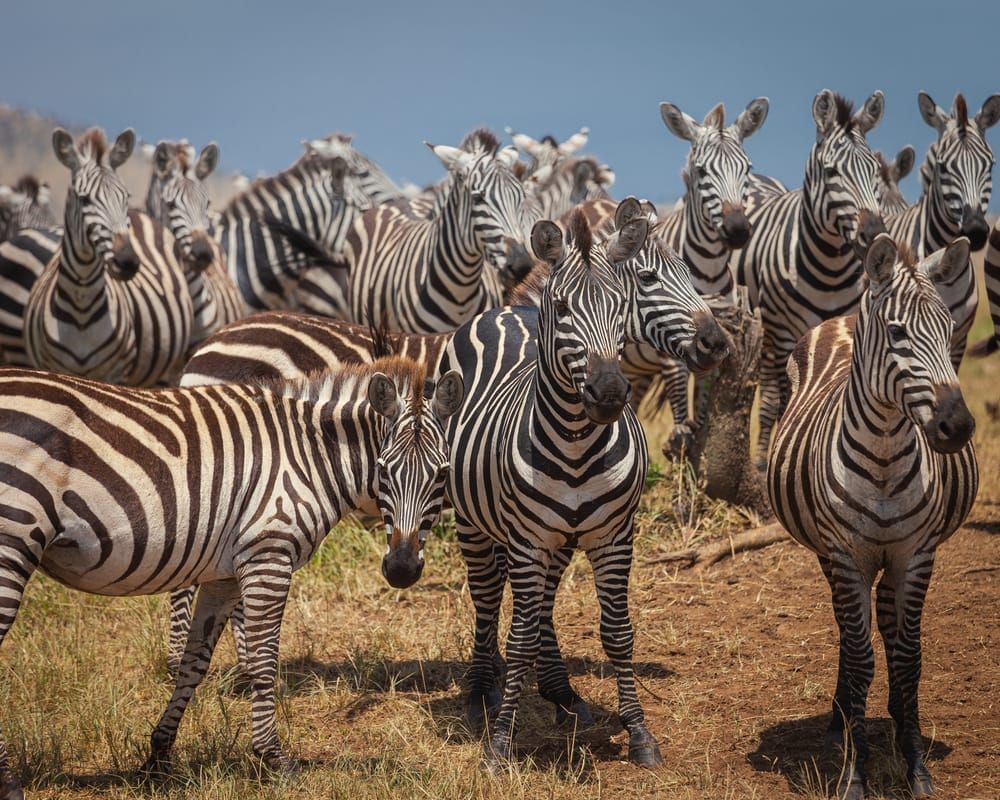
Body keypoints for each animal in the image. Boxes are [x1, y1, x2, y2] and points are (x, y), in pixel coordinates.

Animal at [0, 356, 464, 796]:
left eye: (443, 474)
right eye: (384, 470)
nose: (402, 570)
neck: (312, 456)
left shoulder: (222, 576)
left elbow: (195, 663)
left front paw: (158, 756)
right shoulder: (269, 555)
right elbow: (263, 662)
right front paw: (273, 758)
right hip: (12, 540)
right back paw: (9, 782)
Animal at [23, 128, 194, 386]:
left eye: (125, 197)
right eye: (84, 199)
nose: (127, 262)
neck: (81, 306)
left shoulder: (117, 374)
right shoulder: (51, 367)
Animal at [732, 89, 887, 465]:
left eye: (876, 171)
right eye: (831, 172)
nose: (874, 234)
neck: (828, 271)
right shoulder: (779, 332)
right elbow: (775, 399)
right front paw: (765, 460)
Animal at [767, 233, 978, 800]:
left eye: (950, 331)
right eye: (898, 332)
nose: (957, 426)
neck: (884, 458)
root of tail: (839, 318)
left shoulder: (915, 554)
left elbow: (908, 657)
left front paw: (916, 765)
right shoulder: (846, 556)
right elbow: (862, 657)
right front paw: (854, 773)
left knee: (885, 625)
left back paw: (897, 718)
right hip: (828, 552)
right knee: (849, 630)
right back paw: (840, 720)